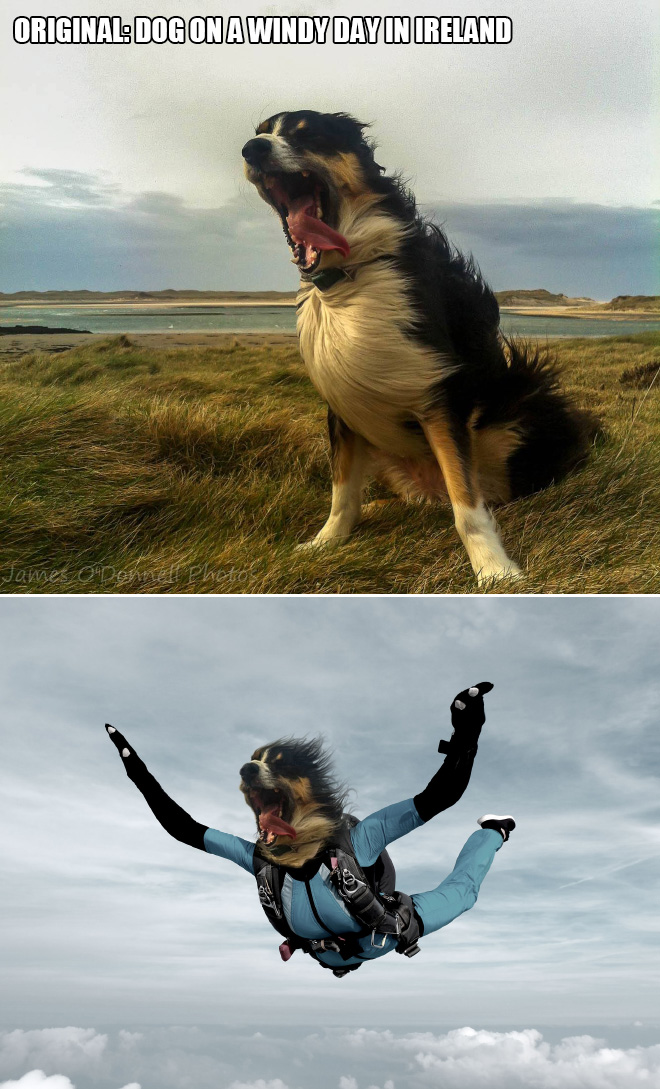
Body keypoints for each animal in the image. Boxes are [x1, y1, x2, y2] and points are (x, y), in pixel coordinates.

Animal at [242, 111, 596, 588]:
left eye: (307, 133)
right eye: (262, 132)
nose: (252, 149)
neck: (352, 274)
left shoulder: (438, 399)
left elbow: (468, 507)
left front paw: (494, 569)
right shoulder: (342, 405)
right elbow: (342, 493)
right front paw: (325, 542)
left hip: (525, 399)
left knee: (498, 493)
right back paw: (379, 507)